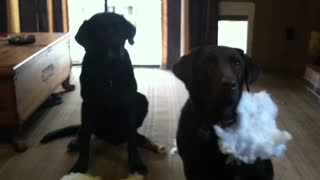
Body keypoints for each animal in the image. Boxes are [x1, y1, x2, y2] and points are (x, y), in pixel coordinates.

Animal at [40, 12, 164, 174]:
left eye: (120, 28)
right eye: (99, 30)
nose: (116, 46)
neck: (108, 70)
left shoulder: (130, 103)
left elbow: (131, 138)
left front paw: (136, 163)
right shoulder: (88, 104)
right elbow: (86, 137)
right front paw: (80, 165)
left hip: (142, 99)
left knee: (133, 135)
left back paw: (144, 141)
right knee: (83, 130)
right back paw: (76, 141)